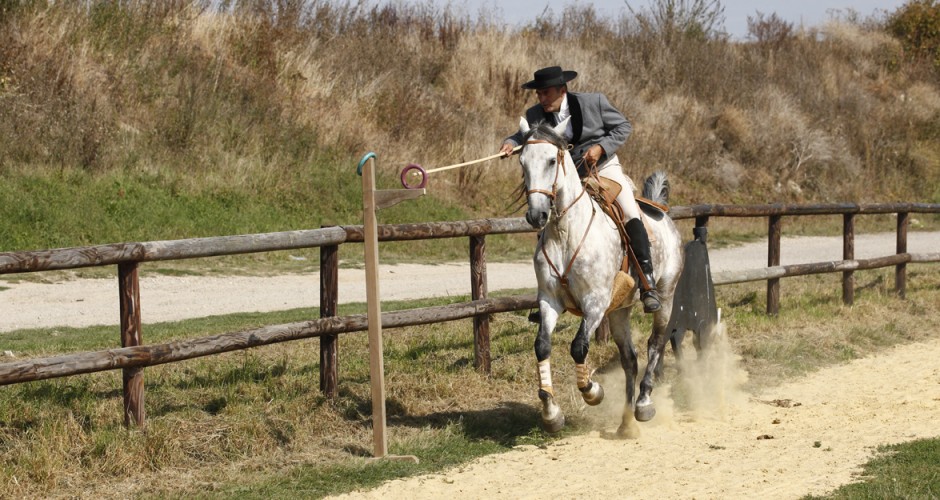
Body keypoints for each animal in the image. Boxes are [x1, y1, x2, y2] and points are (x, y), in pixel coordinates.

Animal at [516, 117, 680, 438]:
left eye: (552, 160)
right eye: (522, 162)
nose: (536, 216)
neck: (566, 231)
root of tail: (662, 214)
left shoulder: (595, 303)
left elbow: (579, 347)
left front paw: (593, 392)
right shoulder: (550, 301)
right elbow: (542, 346)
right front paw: (551, 413)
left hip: (665, 297)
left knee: (655, 343)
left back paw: (643, 403)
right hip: (619, 311)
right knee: (630, 358)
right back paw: (626, 421)